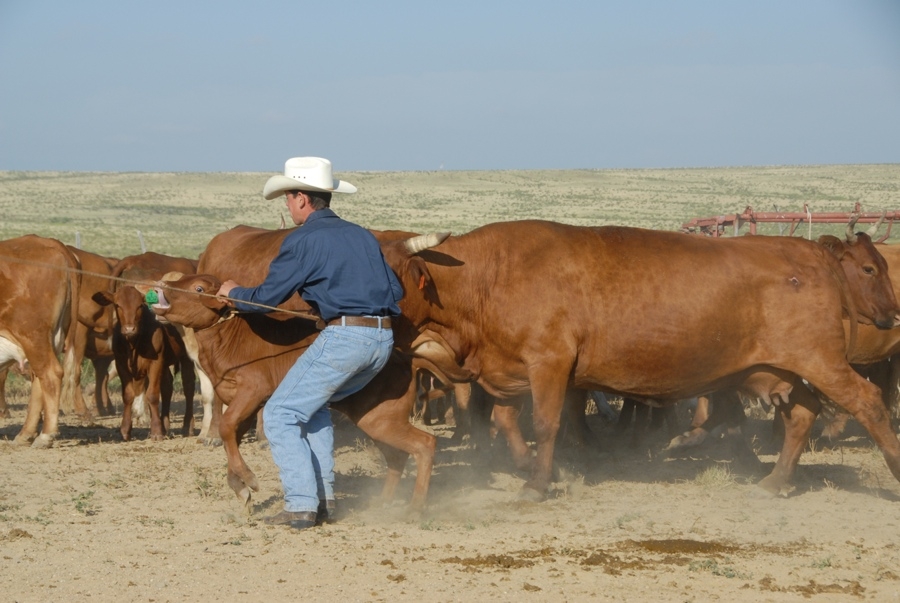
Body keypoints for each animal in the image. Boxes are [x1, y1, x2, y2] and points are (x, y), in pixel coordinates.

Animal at [0, 236, 80, 448]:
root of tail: (44, 241)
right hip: (48, 339)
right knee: (39, 381)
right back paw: (26, 434)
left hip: (33, 336)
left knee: (51, 375)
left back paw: (46, 435)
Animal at [148, 274, 436, 516]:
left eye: (198, 288)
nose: (160, 286)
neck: (231, 338)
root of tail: (404, 358)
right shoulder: (241, 403)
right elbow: (230, 437)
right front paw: (240, 488)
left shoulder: (253, 391)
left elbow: (227, 426)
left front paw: (248, 480)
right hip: (375, 420)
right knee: (397, 457)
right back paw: (382, 502)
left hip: (383, 420)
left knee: (424, 444)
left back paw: (416, 507)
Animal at [380, 222, 900, 500]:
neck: (491, 276)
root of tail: (810, 252)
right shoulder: (511, 371)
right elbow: (509, 422)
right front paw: (539, 470)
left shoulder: (549, 364)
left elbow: (546, 424)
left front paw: (538, 482)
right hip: (774, 373)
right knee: (803, 415)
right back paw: (774, 481)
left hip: (822, 363)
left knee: (870, 402)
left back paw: (892, 470)